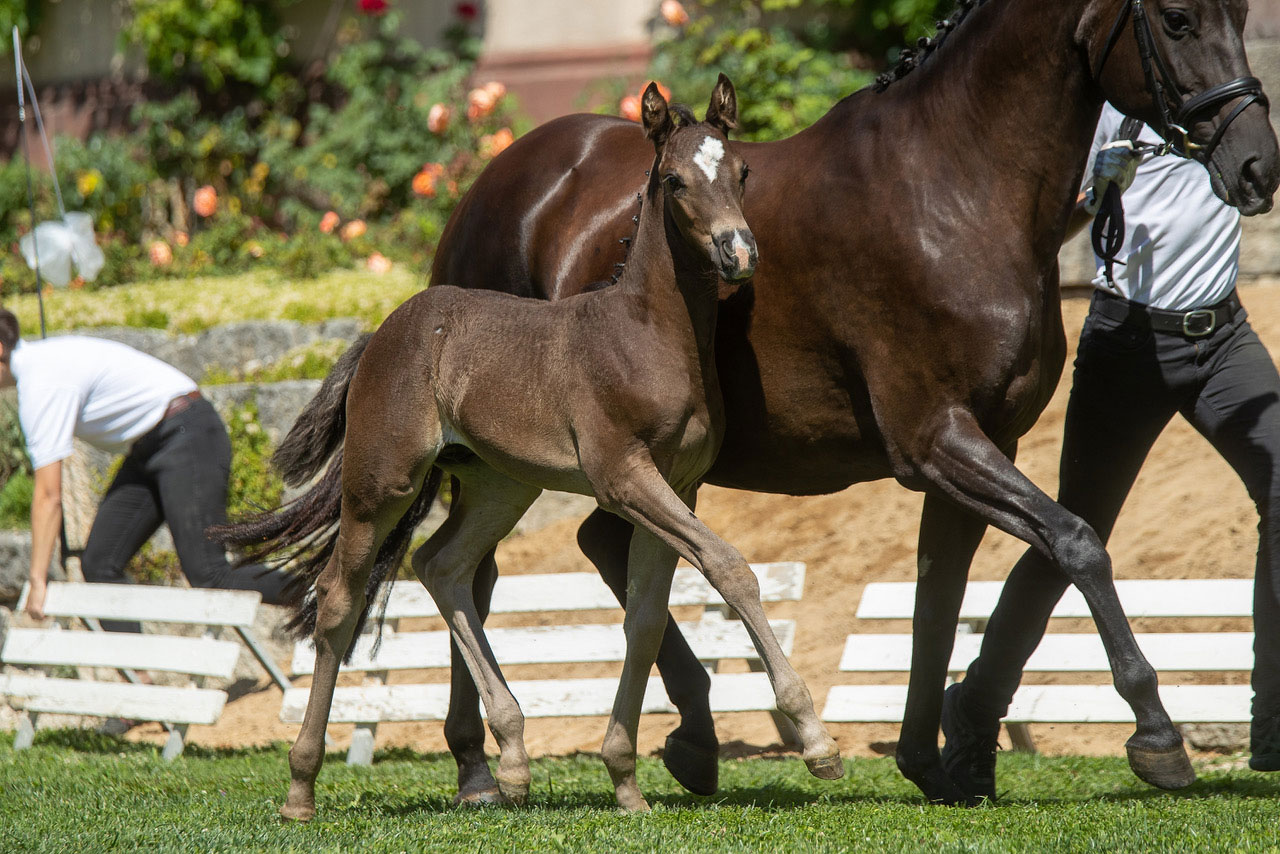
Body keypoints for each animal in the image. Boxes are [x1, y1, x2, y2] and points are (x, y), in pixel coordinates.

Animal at [220, 76, 839, 819]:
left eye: (742, 172)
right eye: (674, 180)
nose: (738, 253)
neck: (647, 337)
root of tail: (385, 329)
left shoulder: (679, 484)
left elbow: (645, 619)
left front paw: (625, 780)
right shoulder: (623, 477)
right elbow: (729, 567)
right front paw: (816, 741)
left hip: (501, 484)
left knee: (444, 565)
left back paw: (511, 758)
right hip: (382, 482)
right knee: (340, 599)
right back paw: (301, 788)